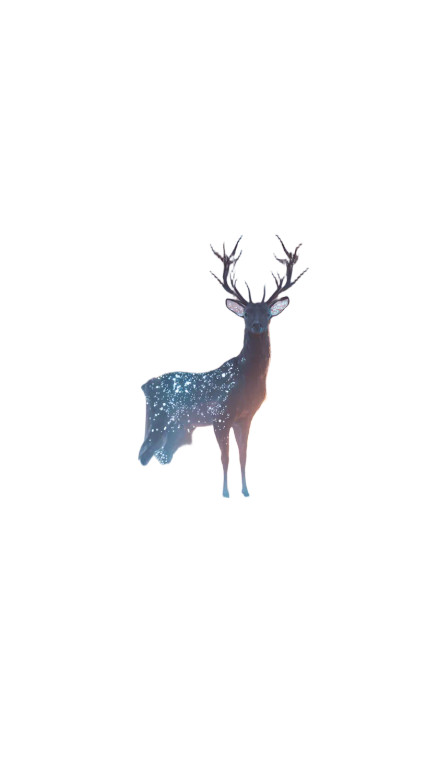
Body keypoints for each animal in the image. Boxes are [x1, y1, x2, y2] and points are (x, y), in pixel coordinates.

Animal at [138, 235, 307, 497]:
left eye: (268, 313)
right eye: (246, 313)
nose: (257, 325)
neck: (248, 381)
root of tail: (144, 385)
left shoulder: (245, 418)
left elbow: (243, 456)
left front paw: (246, 491)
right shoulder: (220, 417)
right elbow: (224, 457)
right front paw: (226, 492)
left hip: (172, 425)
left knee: (156, 454)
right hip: (158, 417)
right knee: (144, 453)